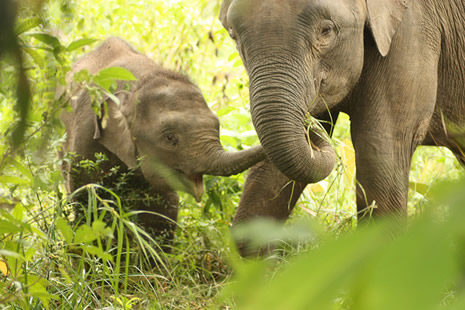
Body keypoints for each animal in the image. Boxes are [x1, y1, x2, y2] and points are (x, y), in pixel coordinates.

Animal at [60, 37, 264, 241]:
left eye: (217, 126)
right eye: (169, 137)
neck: (138, 84)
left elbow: (161, 214)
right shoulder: (86, 137)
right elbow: (88, 203)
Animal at [220, 0, 464, 223]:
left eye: (326, 30)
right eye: (233, 36)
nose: (308, 120)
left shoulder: (413, 32)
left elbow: (379, 155)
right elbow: (271, 175)